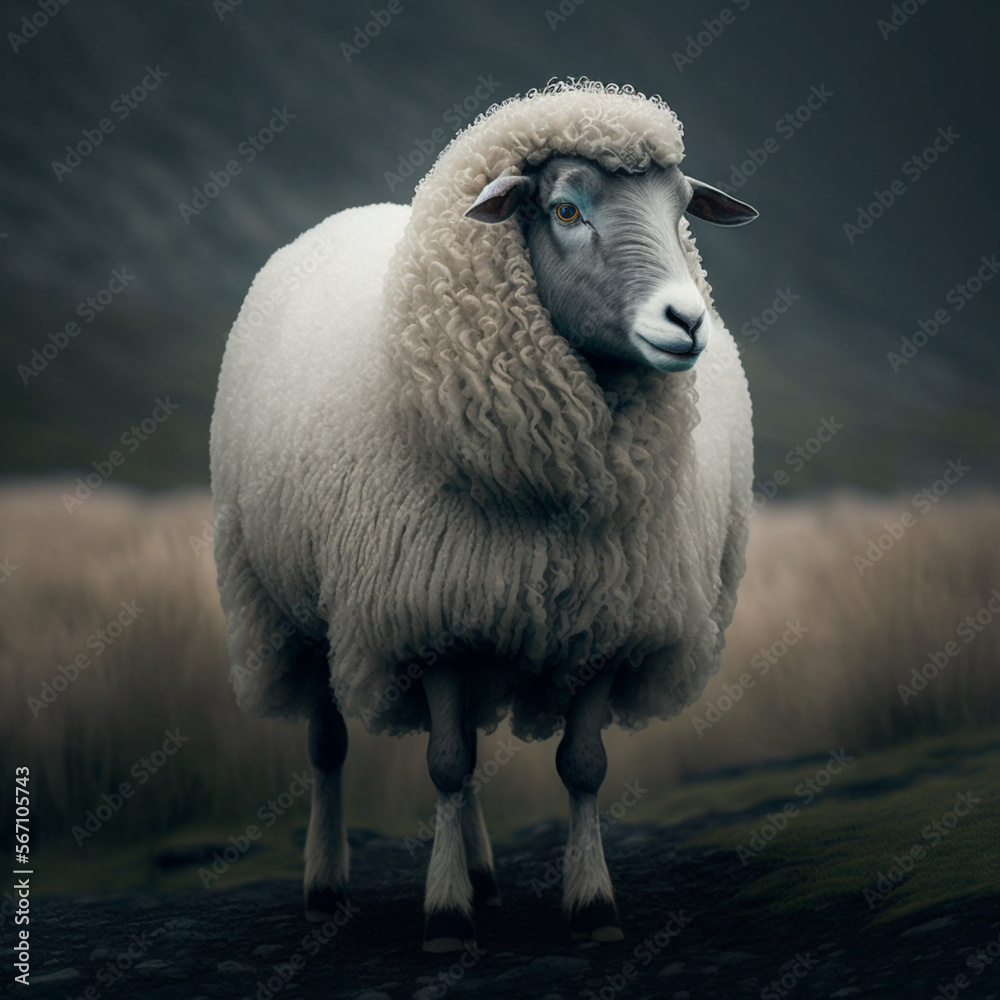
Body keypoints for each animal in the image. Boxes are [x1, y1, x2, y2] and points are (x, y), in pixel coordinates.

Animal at [210, 79, 757, 952]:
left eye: (681, 211)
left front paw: (593, 904)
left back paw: (485, 873)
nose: (686, 320)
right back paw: (327, 887)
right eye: (566, 209)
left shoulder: (607, 619)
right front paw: (444, 916)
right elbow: (443, 764)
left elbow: (580, 766)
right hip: (285, 605)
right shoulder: (426, 614)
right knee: (329, 745)